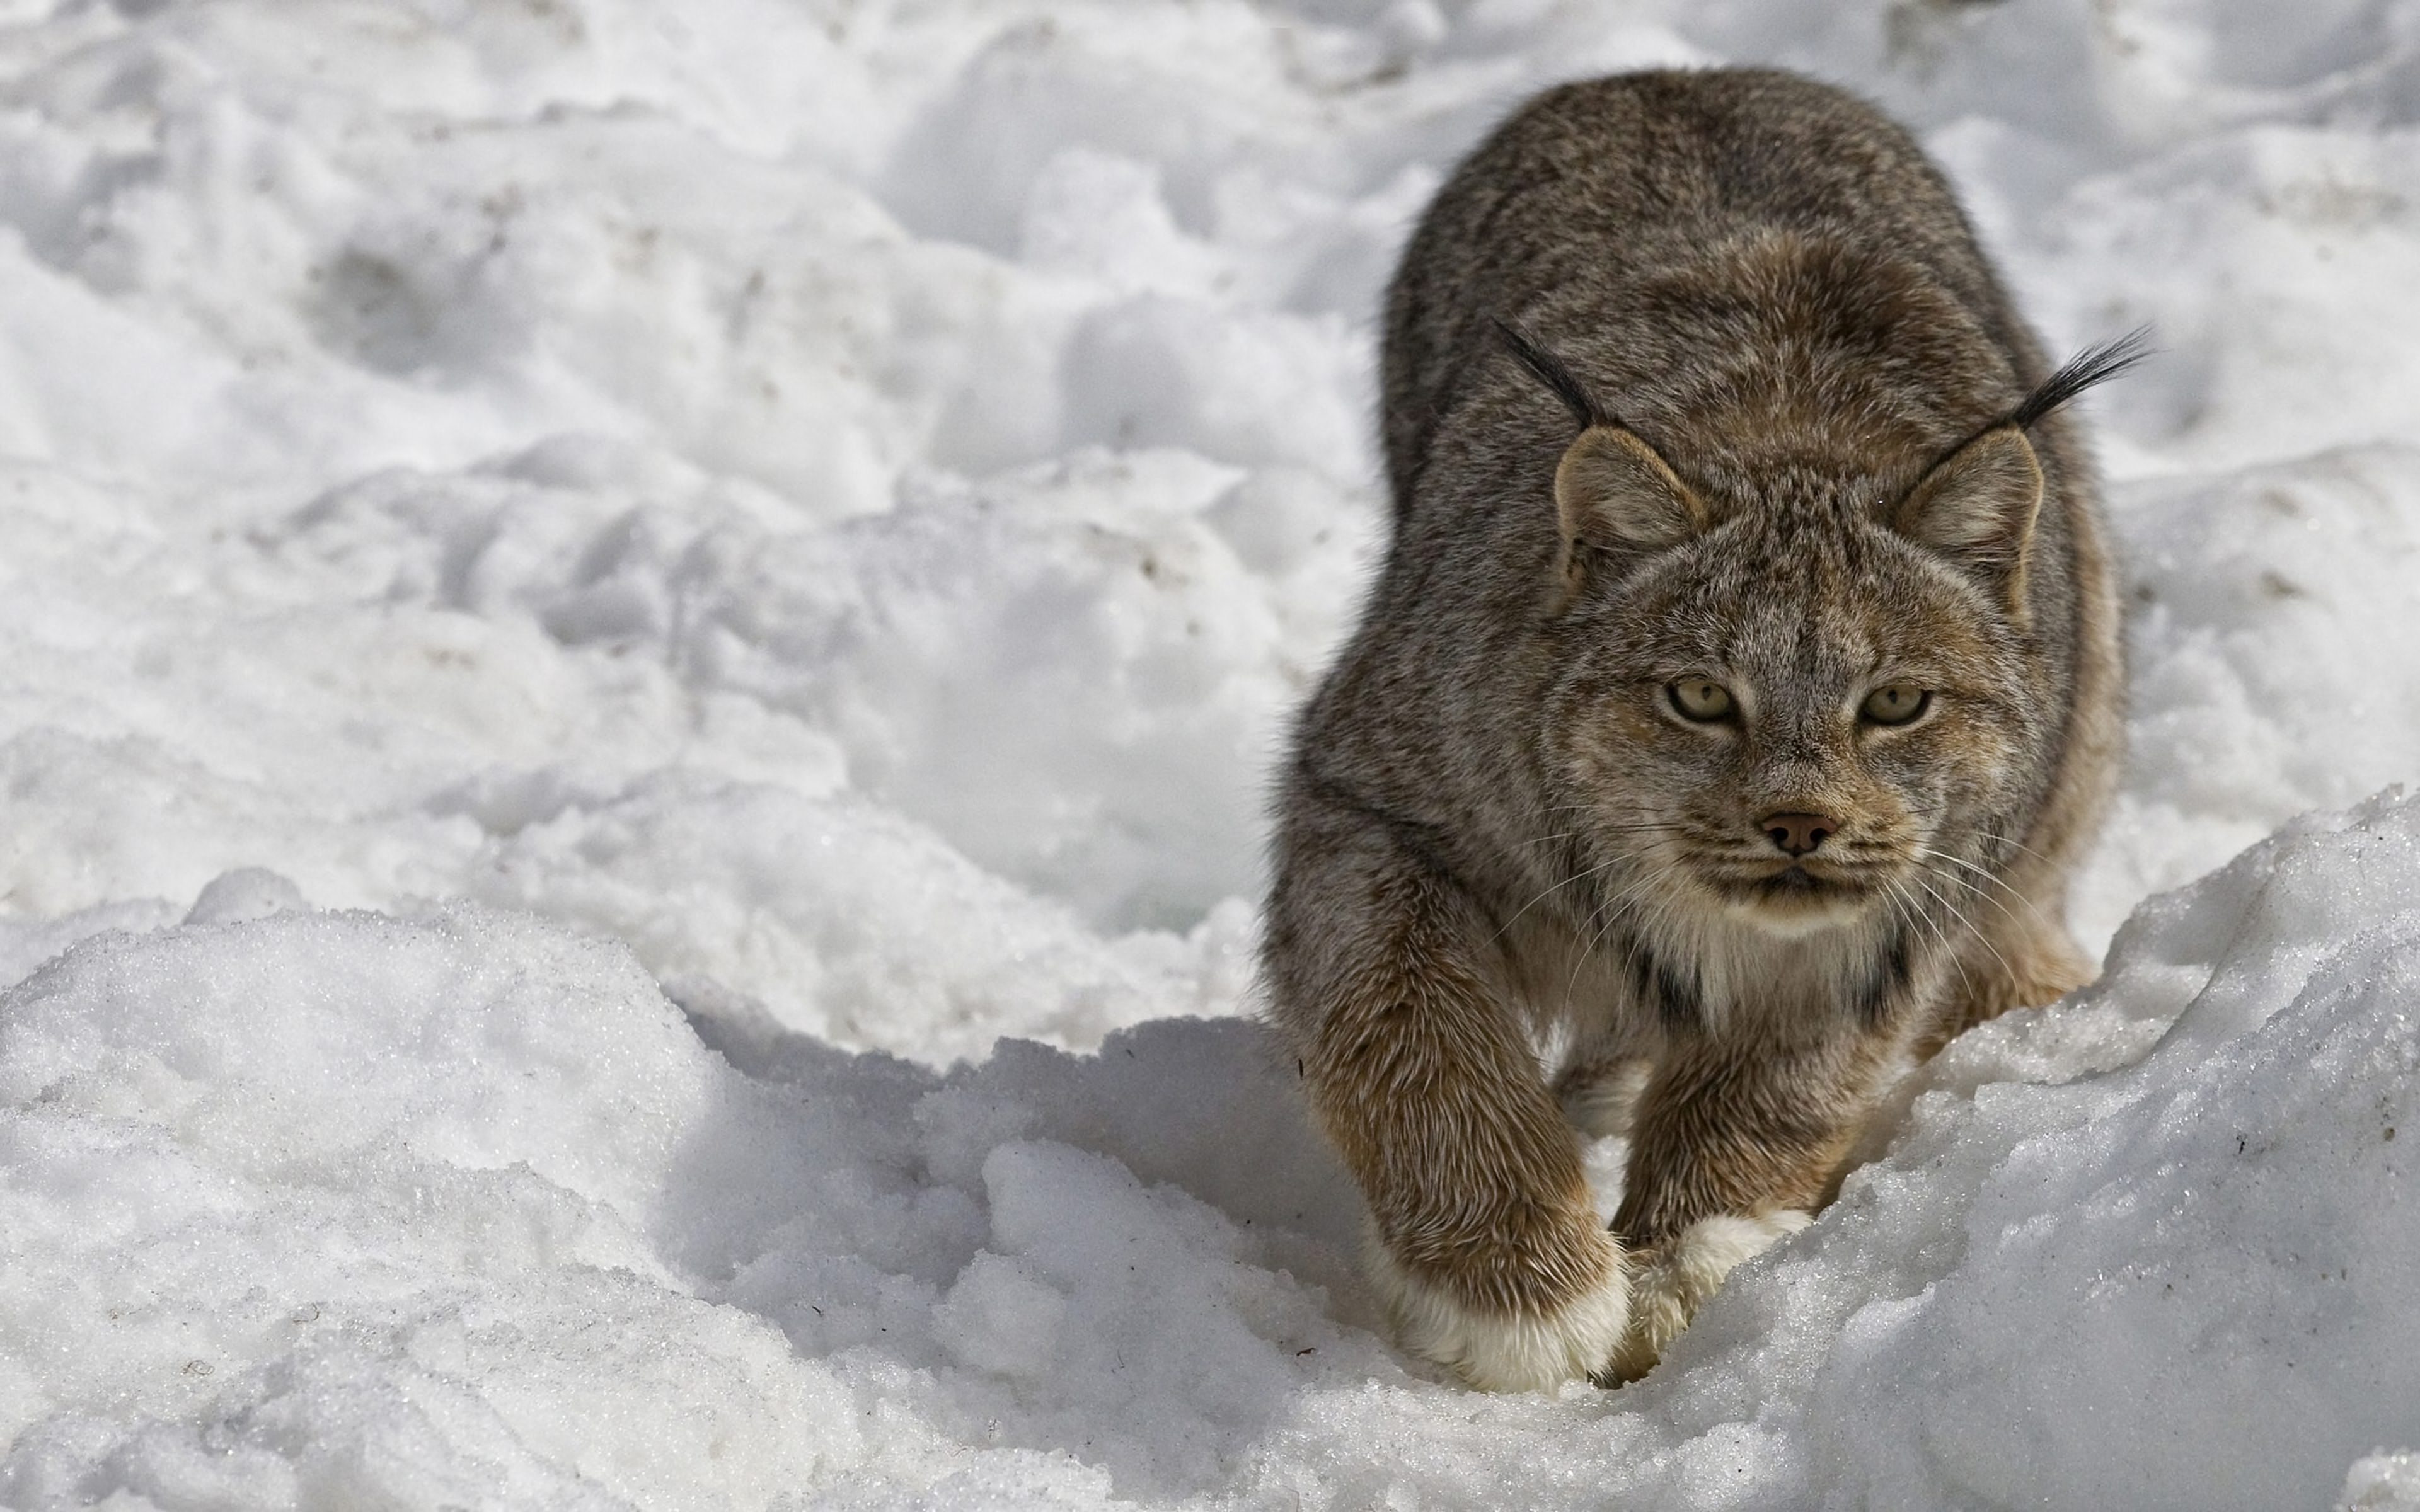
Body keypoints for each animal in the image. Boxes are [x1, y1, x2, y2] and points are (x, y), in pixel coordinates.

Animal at [1258, 71, 2129, 1393]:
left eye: (1896, 704)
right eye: (1701, 699)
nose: (1799, 827)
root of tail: (1675, 75)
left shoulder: (1884, 914)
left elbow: (1779, 1079)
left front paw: (1687, 1256)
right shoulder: (1371, 799)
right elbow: (1409, 1018)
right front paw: (1520, 1282)